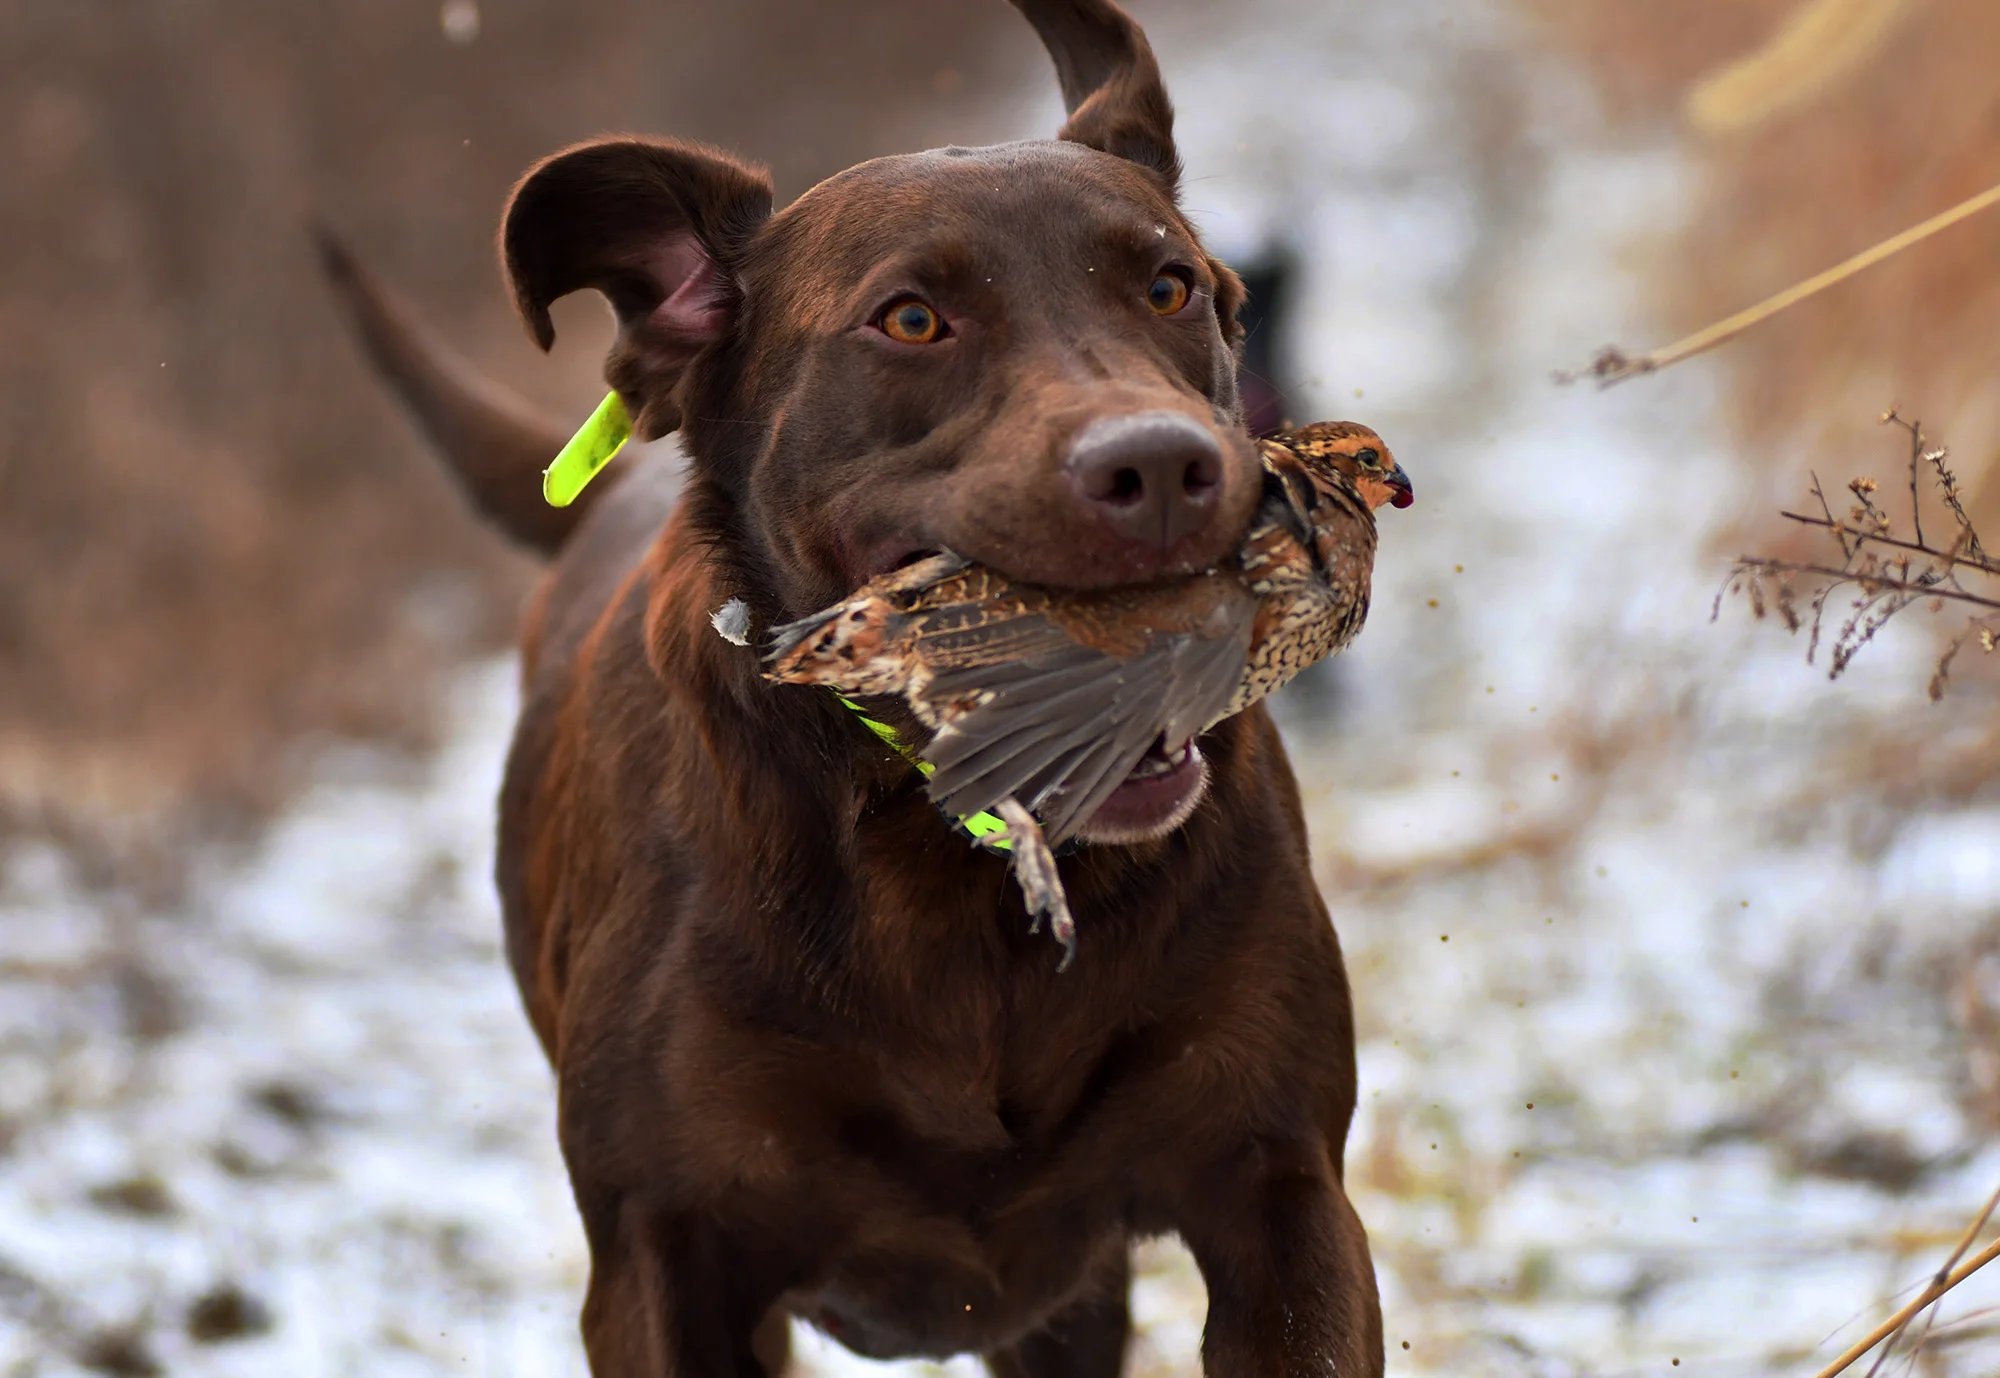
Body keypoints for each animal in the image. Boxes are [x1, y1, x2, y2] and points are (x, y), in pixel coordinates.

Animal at [328, 5, 1384, 1368]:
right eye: (912, 320)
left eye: (1168, 286)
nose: (1159, 466)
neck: (937, 867)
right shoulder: (663, 1255)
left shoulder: (1279, 1188)